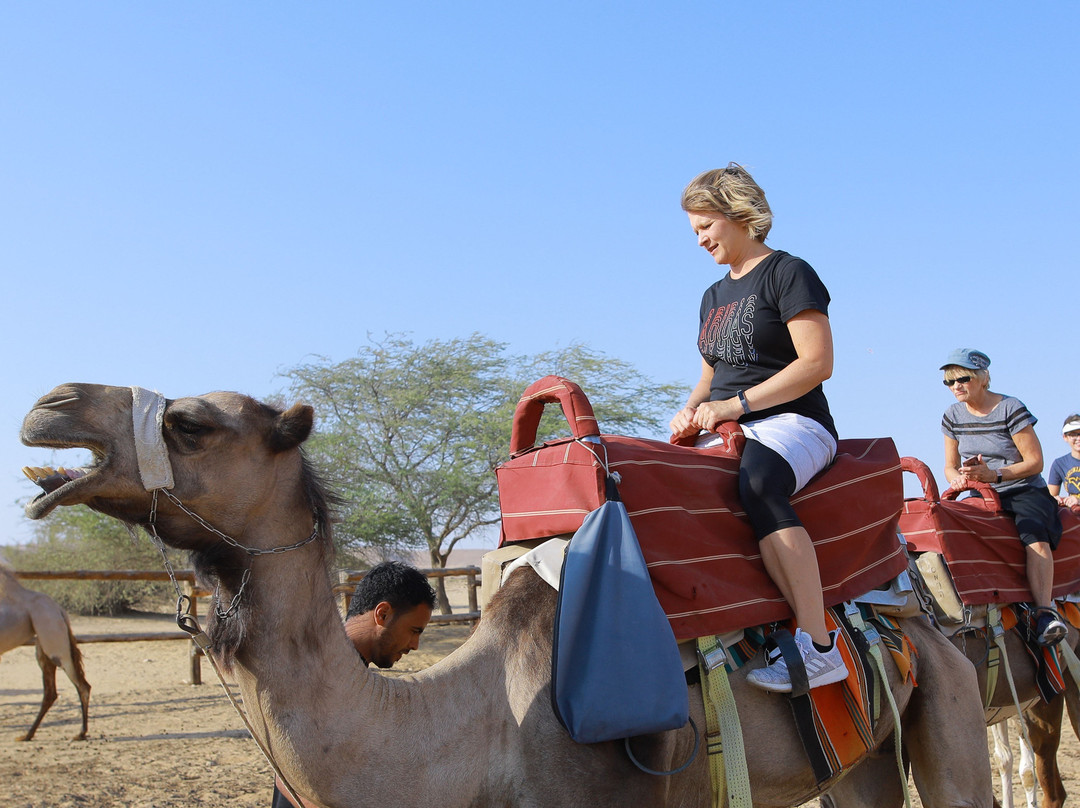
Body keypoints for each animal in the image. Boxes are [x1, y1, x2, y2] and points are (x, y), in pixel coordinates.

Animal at [0, 554, 90, 741]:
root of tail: (59, 610)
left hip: (55, 645)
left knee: (82, 686)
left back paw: (80, 733)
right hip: (43, 649)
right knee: (51, 692)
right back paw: (27, 734)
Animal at [19, 383, 994, 807]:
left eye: (191, 422)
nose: (49, 405)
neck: (481, 729)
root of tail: (910, 613)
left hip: (950, 698)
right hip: (864, 755)